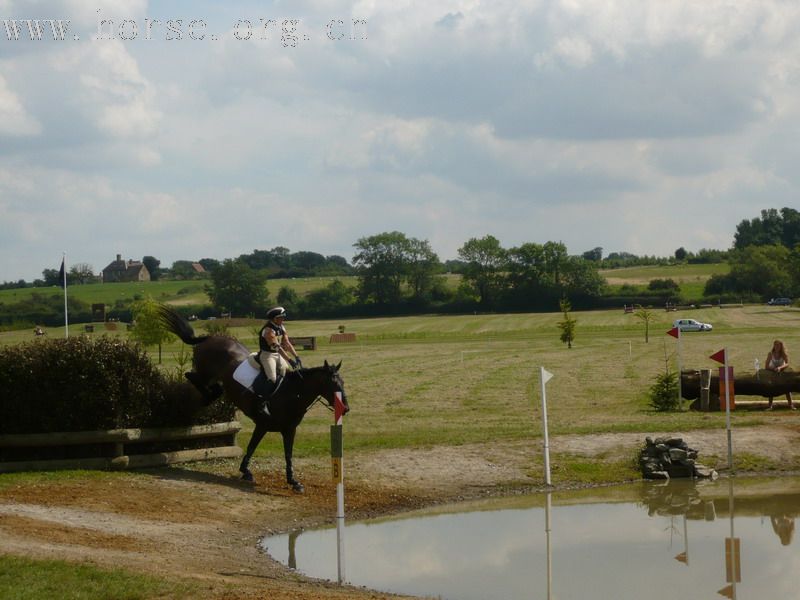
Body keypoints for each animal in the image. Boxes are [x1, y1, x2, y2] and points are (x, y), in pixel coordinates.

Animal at [158, 308, 348, 490]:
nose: (345, 409)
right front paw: (246, 471)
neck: (292, 394)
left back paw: (209, 396)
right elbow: (251, 446)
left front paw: (293, 481)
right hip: (205, 372)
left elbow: (288, 454)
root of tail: (210, 338)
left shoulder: (289, 430)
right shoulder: (262, 424)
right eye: (334, 385)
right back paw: (206, 397)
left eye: (343, 383)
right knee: (191, 376)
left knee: (213, 387)